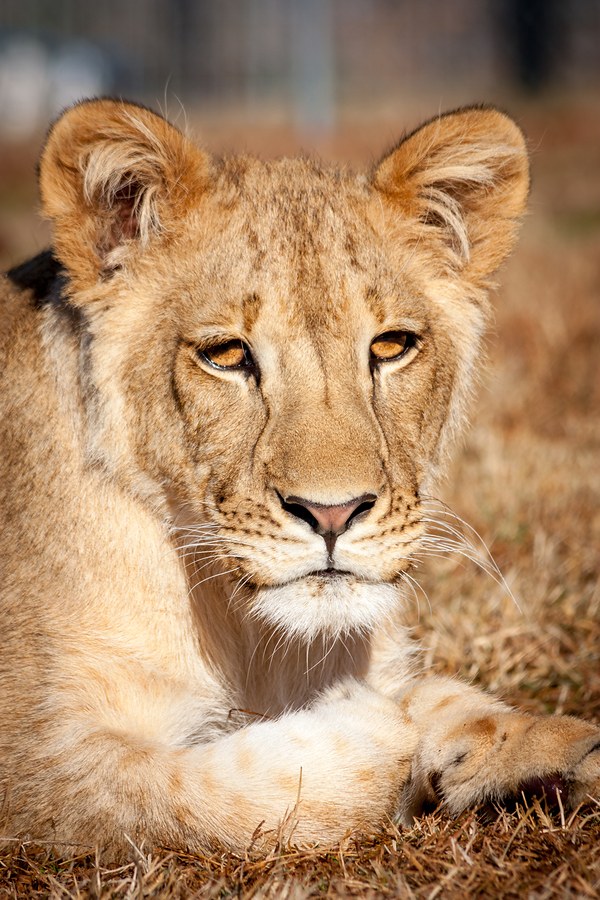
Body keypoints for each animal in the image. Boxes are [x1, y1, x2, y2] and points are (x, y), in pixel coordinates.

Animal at [0, 99, 598, 858]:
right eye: (226, 355)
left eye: (391, 346)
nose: (334, 514)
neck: (249, 636)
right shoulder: (36, 760)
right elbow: (215, 793)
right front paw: (368, 722)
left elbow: (446, 696)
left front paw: (540, 749)